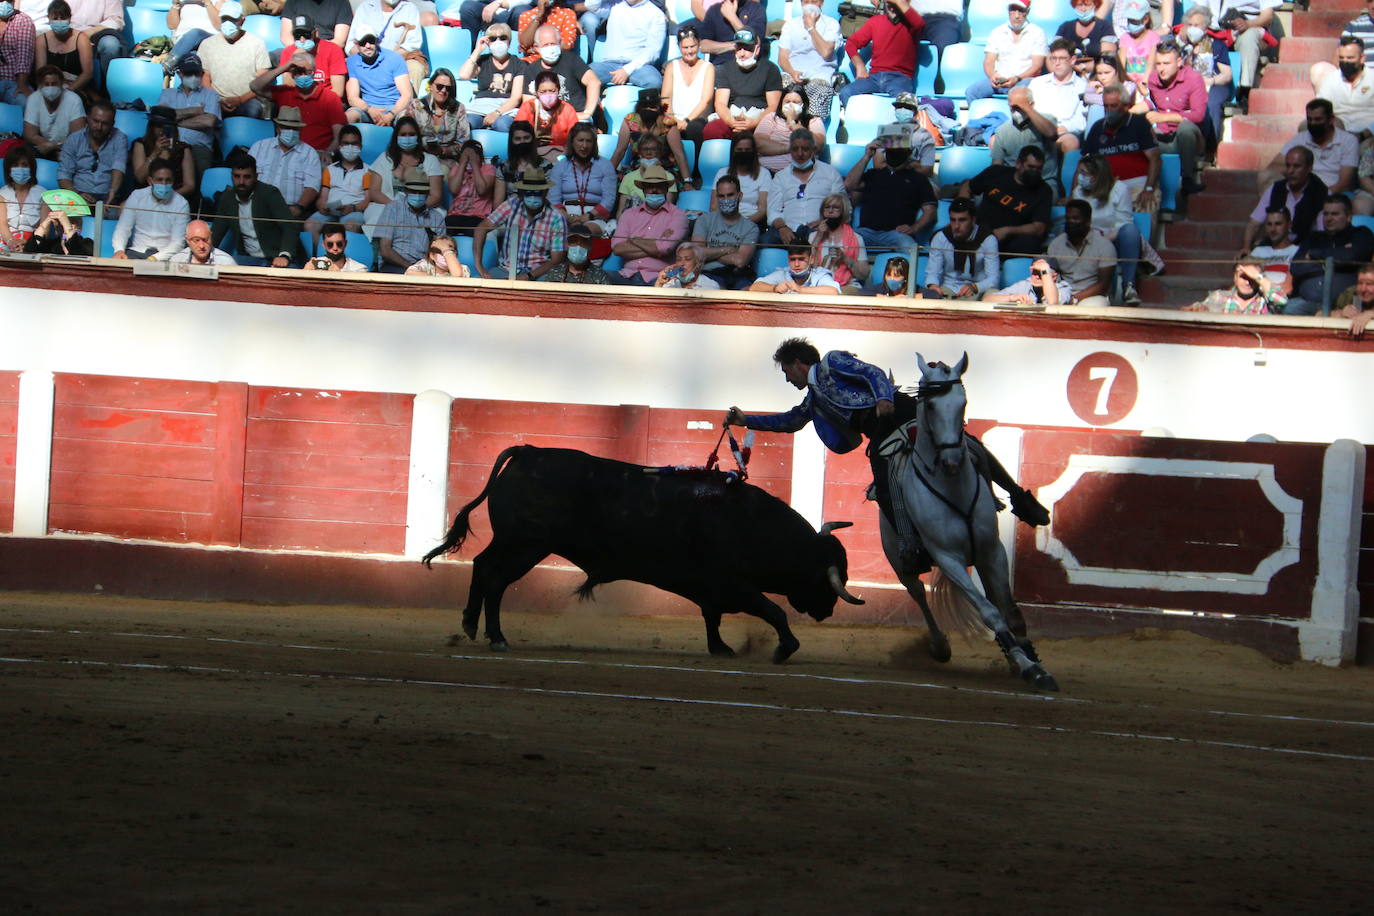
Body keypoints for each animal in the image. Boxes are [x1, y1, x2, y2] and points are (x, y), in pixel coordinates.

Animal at [423, 442, 862, 659]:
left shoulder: (713, 591)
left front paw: (720, 649)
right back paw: (496, 637)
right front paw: (786, 648)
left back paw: (472, 626)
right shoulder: (734, 584)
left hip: (514, 542)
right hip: (526, 545)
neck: (752, 523)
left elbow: (712, 618)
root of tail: (529, 452)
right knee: (495, 578)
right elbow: (772, 610)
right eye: (827, 575)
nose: (828, 610)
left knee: (482, 567)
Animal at [873, 354, 1055, 692]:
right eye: (931, 405)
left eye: (963, 402)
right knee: (918, 593)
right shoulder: (949, 559)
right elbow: (990, 613)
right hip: (898, 560)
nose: (952, 461)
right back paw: (940, 647)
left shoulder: (991, 552)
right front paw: (1028, 668)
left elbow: (1010, 611)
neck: (952, 487)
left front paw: (1030, 662)